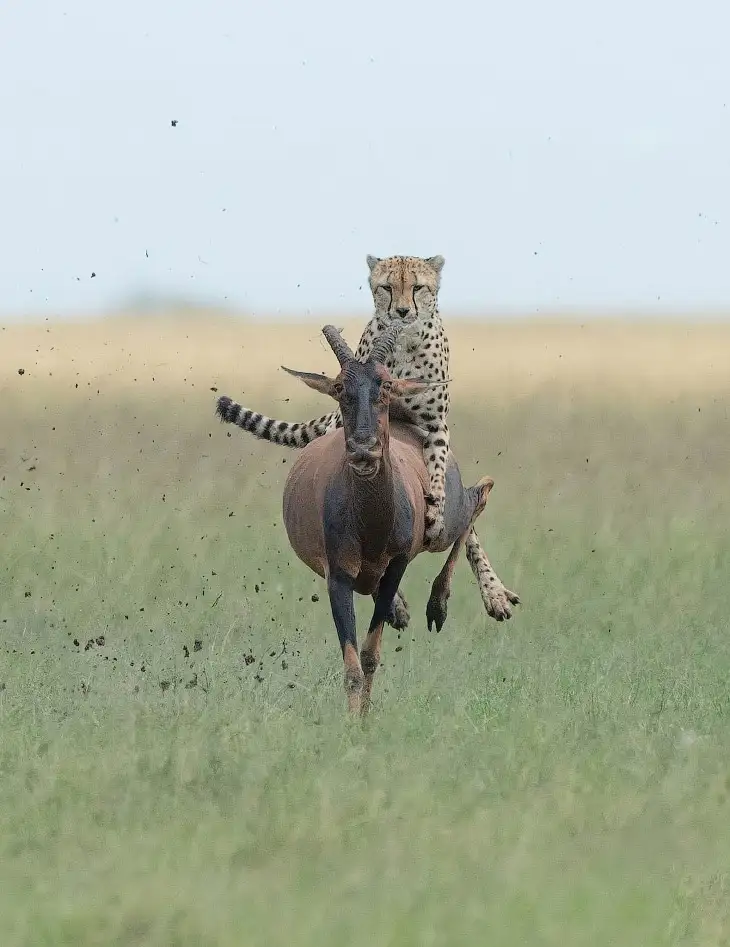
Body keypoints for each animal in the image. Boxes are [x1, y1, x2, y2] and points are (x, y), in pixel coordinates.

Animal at [213, 328, 492, 720]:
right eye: (338, 387)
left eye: (385, 384)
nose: (363, 451)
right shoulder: (338, 577)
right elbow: (352, 666)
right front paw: (354, 721)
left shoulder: (395, 568)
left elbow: (370, 655)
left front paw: (364, 720)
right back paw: (406, 610)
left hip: (441, 525)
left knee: (480, 493)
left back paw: (444, 604)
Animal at [216, 254, 516, 624]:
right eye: (386, 287)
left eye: (418, 287)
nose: (401, 312)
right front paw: (396, 601)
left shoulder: (435, 428)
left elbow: (439, 487)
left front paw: (436, 517)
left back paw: (489, 592)